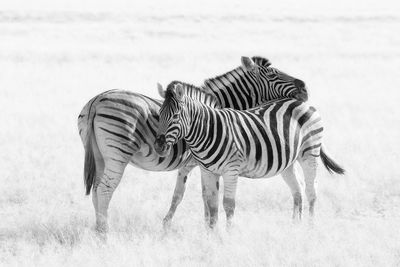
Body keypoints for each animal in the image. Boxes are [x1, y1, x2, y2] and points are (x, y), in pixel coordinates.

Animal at [79, 56, 310, 232]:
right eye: (273, 74)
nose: (305, 88)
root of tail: (96, 101)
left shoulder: (195, 163)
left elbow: (183, 195)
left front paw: (177, 225)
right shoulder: (201, 162)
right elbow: (205, 197)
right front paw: (206, 226)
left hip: (100, 156)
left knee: (96, 190)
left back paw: (97, 228)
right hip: (117, 154)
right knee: (105, 190)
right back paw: (105, 233)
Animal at [155, 81, 346, 228]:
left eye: (176, 116)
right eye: (159, 115)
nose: (158, 146)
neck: (209, 131)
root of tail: (303, 104)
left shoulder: (231, 170)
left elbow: (228, 205)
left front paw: (228, 236)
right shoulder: (208, 171)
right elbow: (212, 205)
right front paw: (211, 237)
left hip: (309, 153)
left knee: (311, 190)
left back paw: (310, 227)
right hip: (287, 162)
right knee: (297, 189)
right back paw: (295, 226)